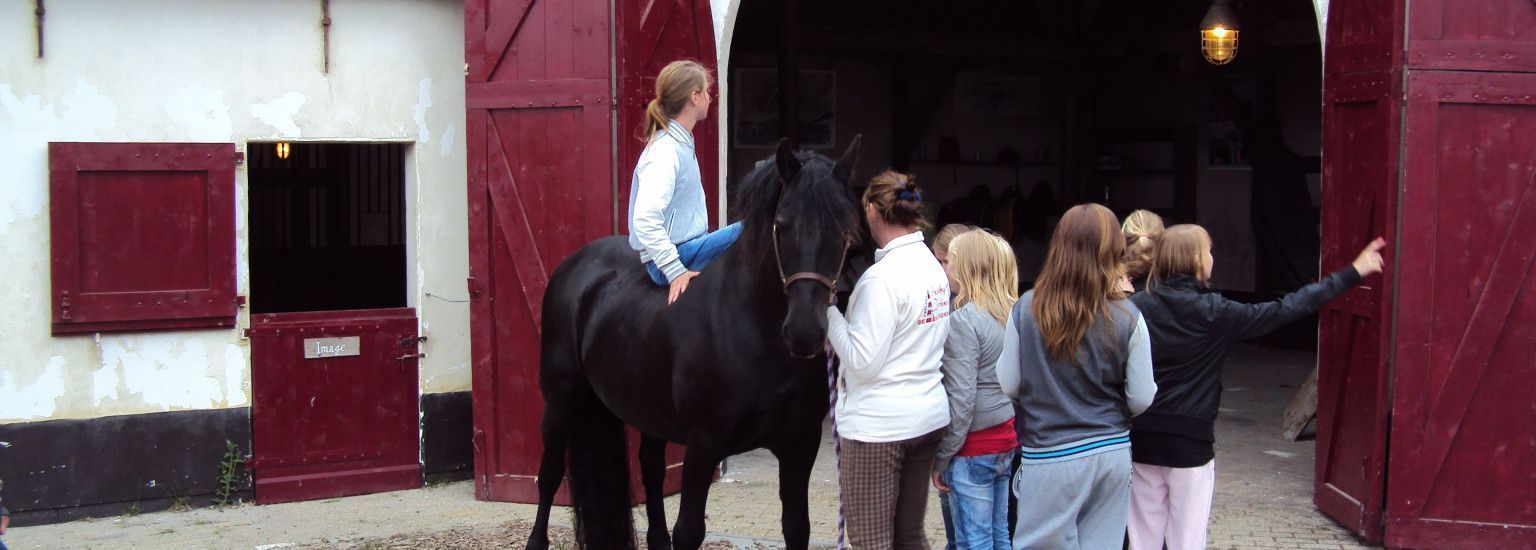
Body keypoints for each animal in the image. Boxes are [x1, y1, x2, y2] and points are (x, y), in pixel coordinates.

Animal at [525, 137, 866, 550]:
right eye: (782, 225)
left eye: (845, 230)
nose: (803, 333)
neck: (754, 329)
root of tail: (575, 266)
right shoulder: (704, 445)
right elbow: (689, 530)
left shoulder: (800, 445)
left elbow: (797, 527)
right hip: (561, 399)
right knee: (549, 473)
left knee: (652, 472)